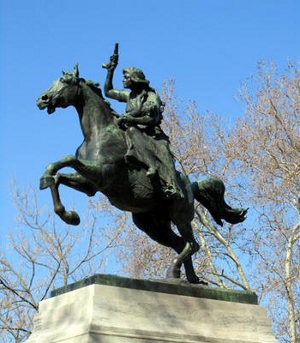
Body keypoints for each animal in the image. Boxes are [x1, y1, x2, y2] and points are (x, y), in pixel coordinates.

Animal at [35, 64, 246, 284]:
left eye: (64, 81)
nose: (42, 99)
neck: (98, 133)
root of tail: (190, 186)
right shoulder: (90, 184)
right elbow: (59, 177)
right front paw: (68, 214)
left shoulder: (102, 174)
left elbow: (67, 159)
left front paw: (49, 181)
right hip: (152, 225)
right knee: (182, 245)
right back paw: (189, 279)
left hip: (179, 215)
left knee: (192, 244)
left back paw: (175, 272)